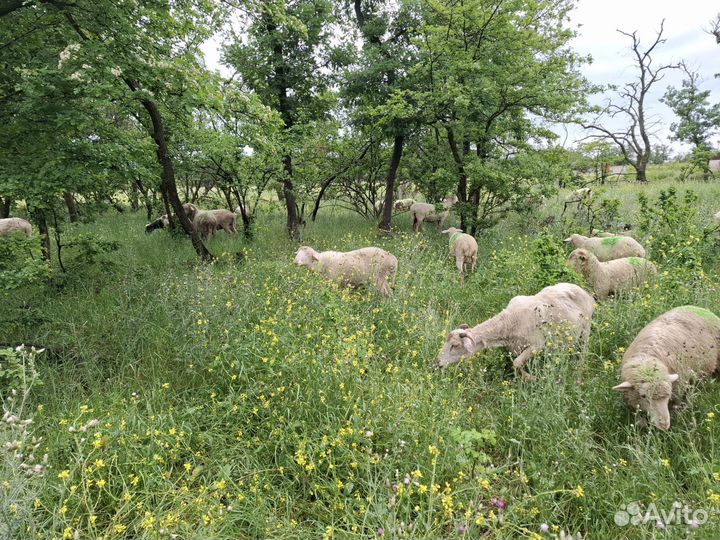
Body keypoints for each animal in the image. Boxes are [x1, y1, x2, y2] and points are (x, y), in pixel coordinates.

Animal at [436, 283, 595, 380]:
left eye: (455, 345)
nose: (438, 362)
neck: (510, 321)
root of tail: (585, 291)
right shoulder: (514, 348)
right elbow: (515, 363)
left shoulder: (537, 345)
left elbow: (517, 363)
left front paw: (531, 378)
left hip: (586, 330)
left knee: (583, 351)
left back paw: (579, 371)